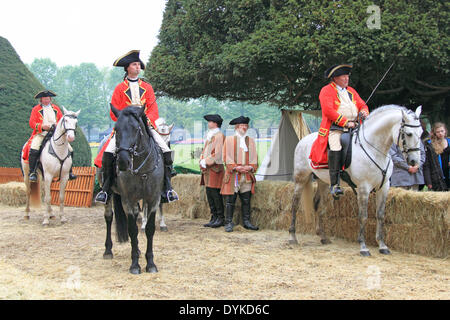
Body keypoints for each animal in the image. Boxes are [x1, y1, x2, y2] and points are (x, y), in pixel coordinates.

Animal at [96, 105, 165, 276]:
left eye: (136, 129)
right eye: (116, 129)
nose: (122, 161)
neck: (142, 168)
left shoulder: (153, 199)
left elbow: (149, 229)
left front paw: (150, 263)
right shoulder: (128, 199)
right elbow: (132, 230)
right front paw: (135, 265)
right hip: (109, 195)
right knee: (109, 217)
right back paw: (108, 251)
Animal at [290, 106, 424, 256]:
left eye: (421, 133)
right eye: (409, 134)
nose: (414, 161)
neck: (375, 149)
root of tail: (303, 140)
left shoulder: (384, 187)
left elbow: (380, 215)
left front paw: (382, 245)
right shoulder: (363, 188)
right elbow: (363, 216)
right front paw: (363, 246)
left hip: (324, 182)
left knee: (318, 204)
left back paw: (323, 236)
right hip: (301, 178)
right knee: (295, 204)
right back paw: (292, 237)